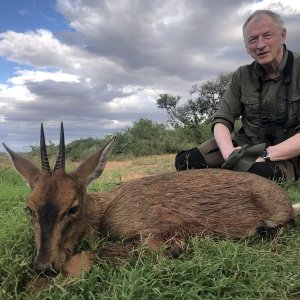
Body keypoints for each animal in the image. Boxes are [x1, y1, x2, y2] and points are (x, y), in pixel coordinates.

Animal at [2, 123, 300, 276]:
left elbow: (102, 252)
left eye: (72, 207)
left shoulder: (156, 236)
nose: (44, 266)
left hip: (276, 219)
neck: (106, 210)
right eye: (29, 208)